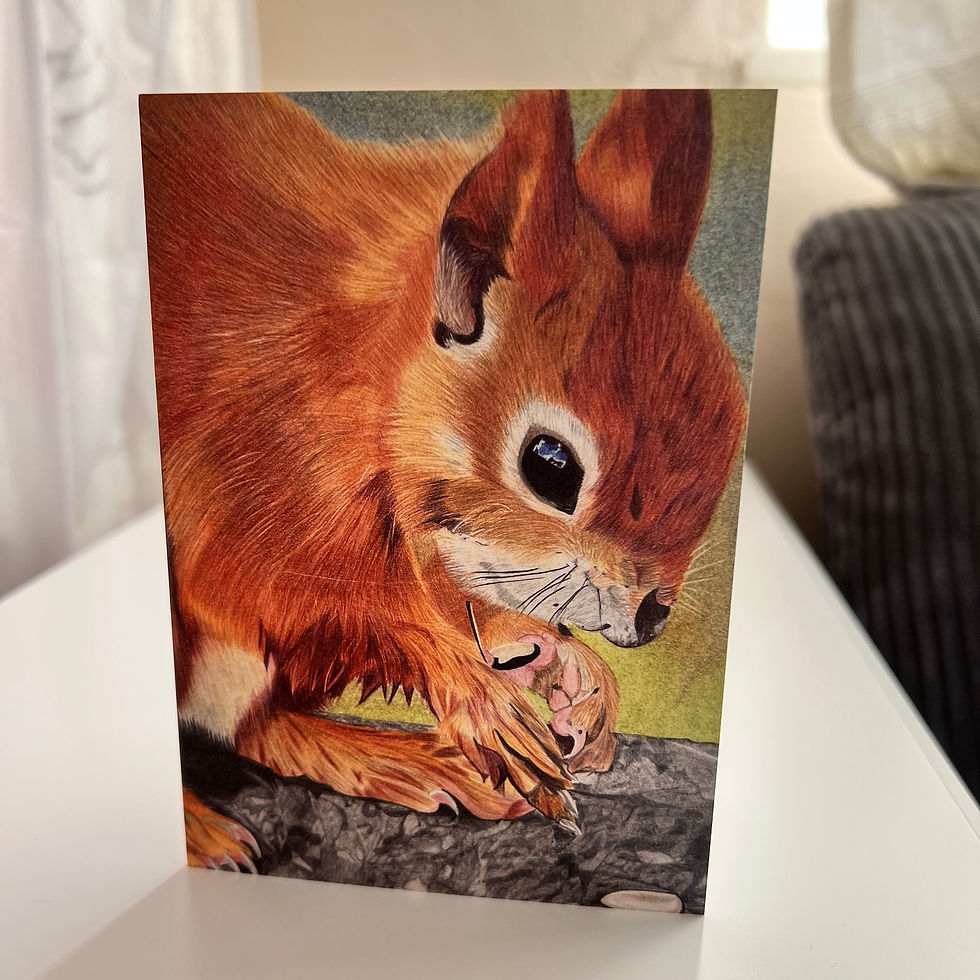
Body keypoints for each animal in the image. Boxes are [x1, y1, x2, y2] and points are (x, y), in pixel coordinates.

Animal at [140, 89, 747, 869]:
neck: (365, 365)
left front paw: (570, 670)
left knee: (257, 727)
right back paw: (205, 831)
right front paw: (482, 698)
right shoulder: (243, 476)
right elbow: (284, 591)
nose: (651, 618)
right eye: (549, 465)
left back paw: (392, 760)